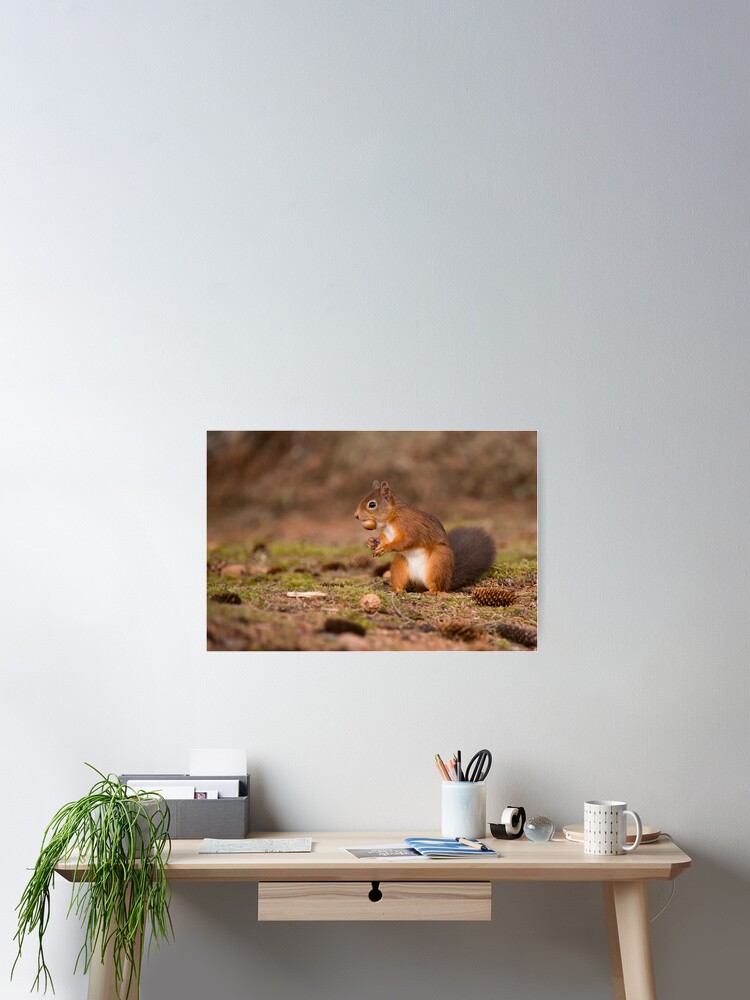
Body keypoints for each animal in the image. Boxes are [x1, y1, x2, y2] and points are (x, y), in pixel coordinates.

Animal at [354, 480, 496, 593]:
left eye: (372, 504)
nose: (356, 516)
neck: (390, 519)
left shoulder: (409, 527)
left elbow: (406, 541)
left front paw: (386, 547)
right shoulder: (387, 533)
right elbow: (384, 538)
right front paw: (371, 542)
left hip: (438, 562)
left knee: (438, 588)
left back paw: (432, 592)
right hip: (400, 565)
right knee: (400, 580)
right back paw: (396, 590)